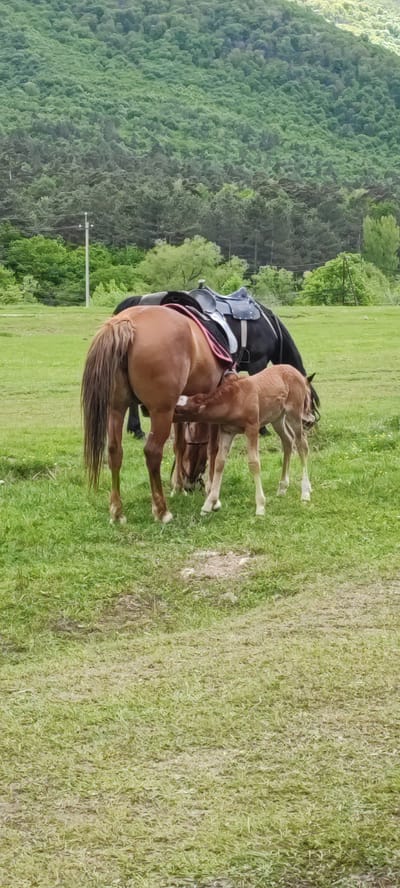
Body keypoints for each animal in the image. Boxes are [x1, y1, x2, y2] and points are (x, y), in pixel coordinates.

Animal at [81, 305, 233, 523]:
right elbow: (213, 448)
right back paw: (162, 511)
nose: (192, 484)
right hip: (161, 412)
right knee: (152, 452)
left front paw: (178, 488)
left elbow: (179, 445)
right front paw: (212, 496)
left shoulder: (179, 409)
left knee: (114, 451)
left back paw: (117, 512)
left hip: (116, 409)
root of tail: (126, 323)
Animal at [174, 365, 315, 517]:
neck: (235, 400)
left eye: (179, 410)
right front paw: (208, 504)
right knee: (288, 441)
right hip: (277, 418)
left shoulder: (252, 428)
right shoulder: (227, 431)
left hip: (294, 413)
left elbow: (254, 463)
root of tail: (297, 373)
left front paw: (260, 506)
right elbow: (219, 462)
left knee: (302, 445)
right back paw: (282, 487)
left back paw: (305, 492)